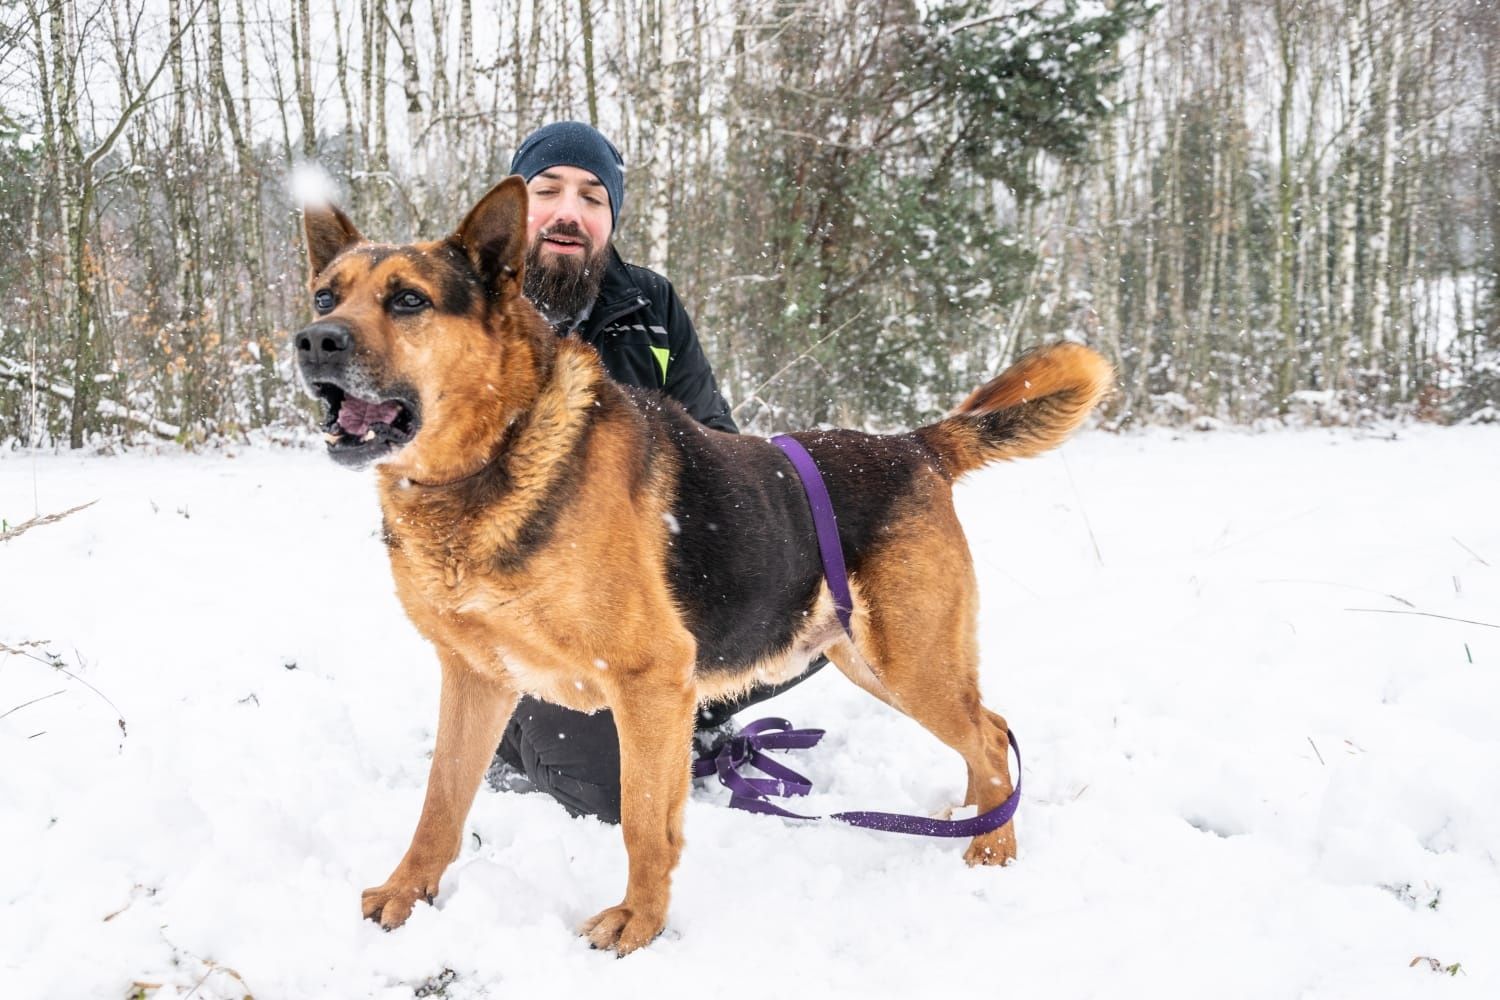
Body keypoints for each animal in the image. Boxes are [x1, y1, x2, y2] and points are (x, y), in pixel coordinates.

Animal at [292, 177, 1116, 953]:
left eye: (408, 300)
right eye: (327, 295)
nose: (313, 341)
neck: (497, 452)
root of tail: (913, 445)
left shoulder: (650, 682)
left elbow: (642, 822)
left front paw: (640, 924)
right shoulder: (476, 677)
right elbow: (441, 799)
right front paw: (409, 893)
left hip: (910, 661)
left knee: (990, 735)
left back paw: (993, 845)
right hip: (868, 661)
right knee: (991, 725)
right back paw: (974, 817)